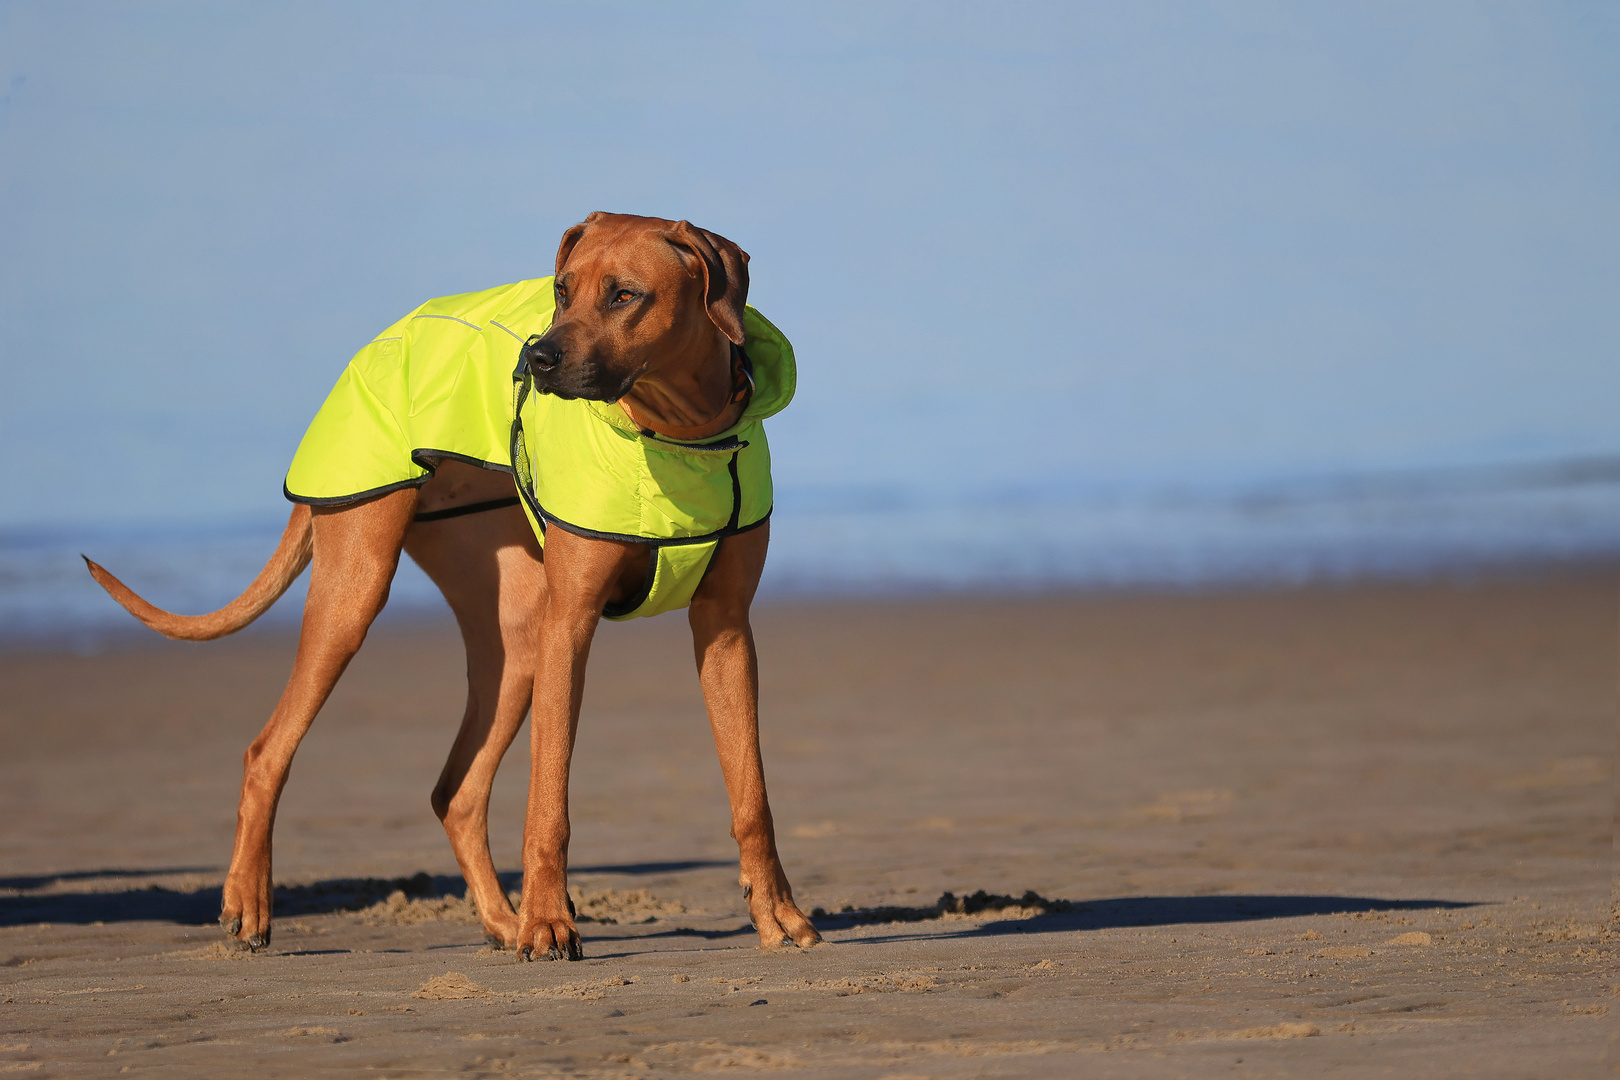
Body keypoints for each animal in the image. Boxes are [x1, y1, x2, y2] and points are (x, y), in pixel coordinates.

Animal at [85, 213, 822, 965]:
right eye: (561, 289)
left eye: (625, 295)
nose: (537, 360)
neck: (680, 434)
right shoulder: (571, 624)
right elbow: (548, 802)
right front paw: (551, 922)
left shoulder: (726, 628)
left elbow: (751, 793)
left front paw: (777, 914)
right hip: (356, 591)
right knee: (268, 752)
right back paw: (249, 906)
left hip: (515, 641)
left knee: (457, 793)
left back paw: (502, 921)